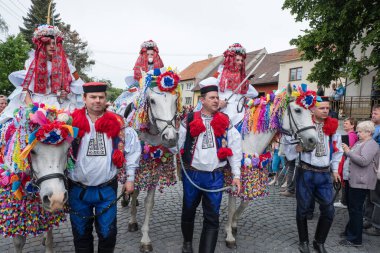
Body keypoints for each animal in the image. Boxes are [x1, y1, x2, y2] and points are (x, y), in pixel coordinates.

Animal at [120, 69, 181, 253]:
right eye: (152, 101)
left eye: (175, 100)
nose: (170, 137)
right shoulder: (136, 166)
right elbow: (133, 189)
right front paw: (132, 221)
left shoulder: (154, 168)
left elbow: (149, 203)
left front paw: (145, 238)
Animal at [224, 84, 320, 247]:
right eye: (298, 110)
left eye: (311, 112)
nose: (313, 141)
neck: (248, 141)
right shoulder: (235, 178)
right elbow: (231, 208)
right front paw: (229, 235)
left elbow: (244, 203)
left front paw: (233, 225)